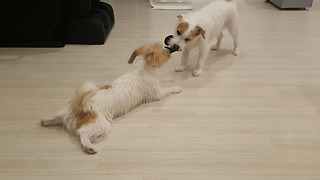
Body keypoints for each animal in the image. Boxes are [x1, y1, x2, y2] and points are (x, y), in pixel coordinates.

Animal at [40, 43, 182, 154]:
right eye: (163, 52)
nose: (171, 49)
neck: (142, 69)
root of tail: (81, 108)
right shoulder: (157, 93)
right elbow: (168, 90)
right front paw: (177, 88)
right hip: (101, 126)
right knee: (83, 133)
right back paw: (88, 147)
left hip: (65, 112)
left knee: (57, 117)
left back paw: (45, 121)